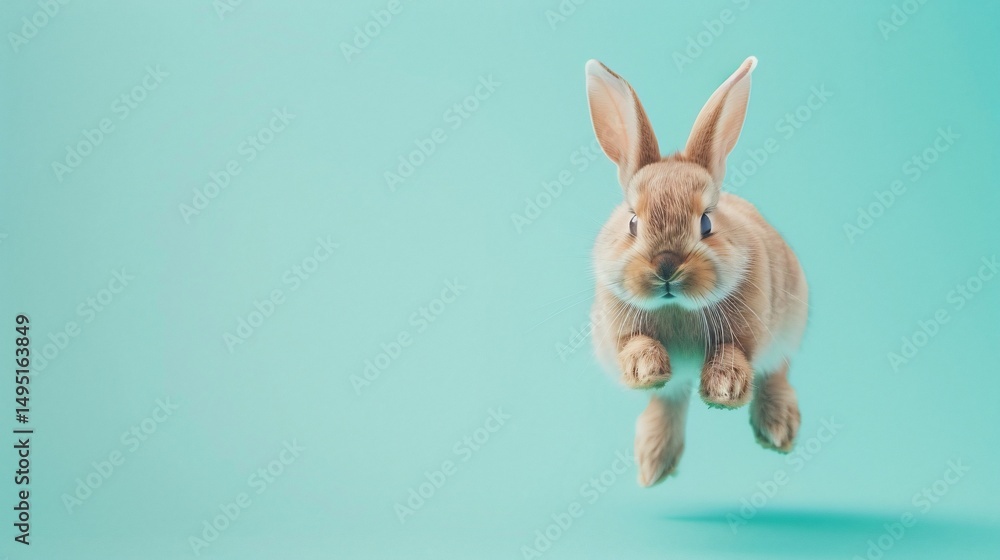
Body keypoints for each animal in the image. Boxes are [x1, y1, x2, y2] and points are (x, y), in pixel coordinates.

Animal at [585, 56, 809, 487]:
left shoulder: (748, 331)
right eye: (632, 222)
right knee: (669, 399)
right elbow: (636, 347)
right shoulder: (617, 331)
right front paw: (647, 369)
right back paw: (654, 460)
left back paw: (778, 428)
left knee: (777, 370)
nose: (666, 266)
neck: (676, 308)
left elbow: (732, 353)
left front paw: (724, 391)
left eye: (706, 223)